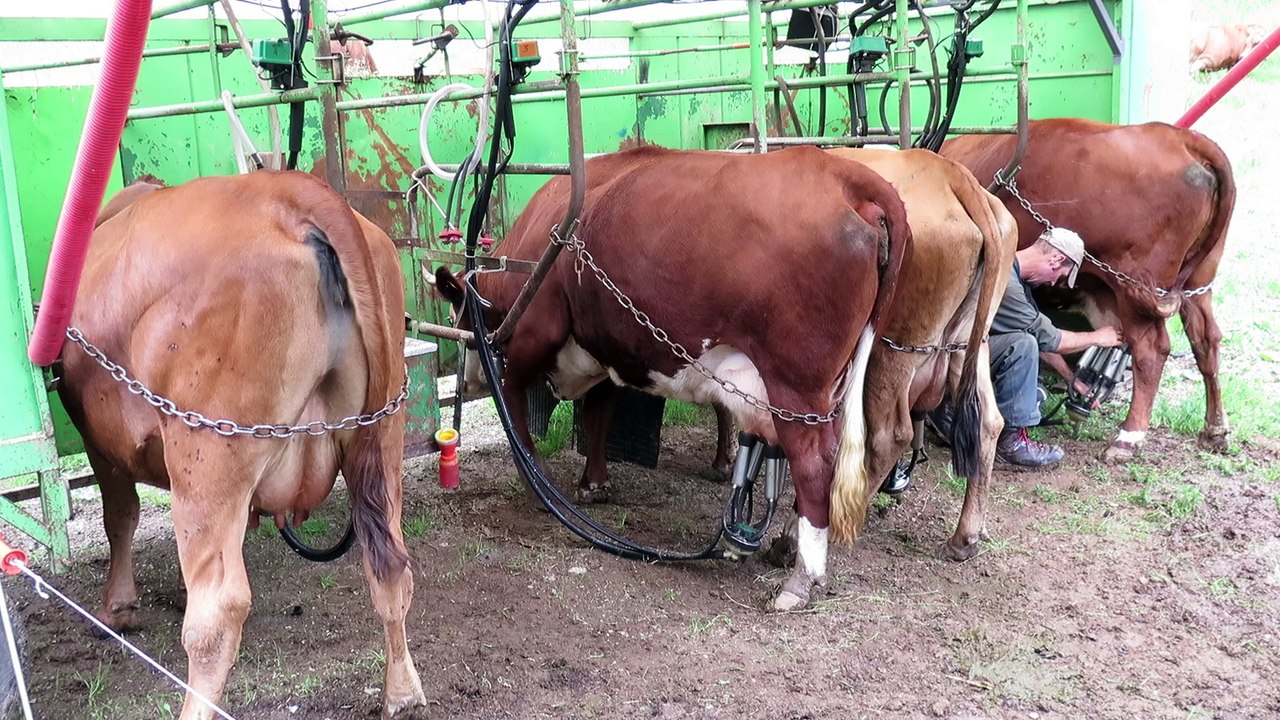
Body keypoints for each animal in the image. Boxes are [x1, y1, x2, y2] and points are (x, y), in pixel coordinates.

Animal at [58, 171, 426, 719]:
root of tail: (288, 194)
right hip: (383, 433)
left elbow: (119, 516)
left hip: (207, 452)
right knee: (391, 568)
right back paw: (401, 694)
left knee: (217, 615)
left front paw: (117, 608)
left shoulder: (100, 442)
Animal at [435, 145, 913, 611]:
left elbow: (514, 405)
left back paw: (800, 580)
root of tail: (844, 174)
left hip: (796, 385)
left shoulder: (535, 333)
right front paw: (595, 483)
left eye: (459, 315)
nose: (465, 384)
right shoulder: (609, 345)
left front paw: (535, 479)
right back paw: (787, 542)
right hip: (830, 384)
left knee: (815, 464)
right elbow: (599, 413)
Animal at [942, 118, 1236, 461]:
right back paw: (1215, 429)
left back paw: (1128, 437)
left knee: (1151, 350)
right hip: (1197, 284)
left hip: (1134, 288)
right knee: (1207, 341)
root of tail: (1181, 137)